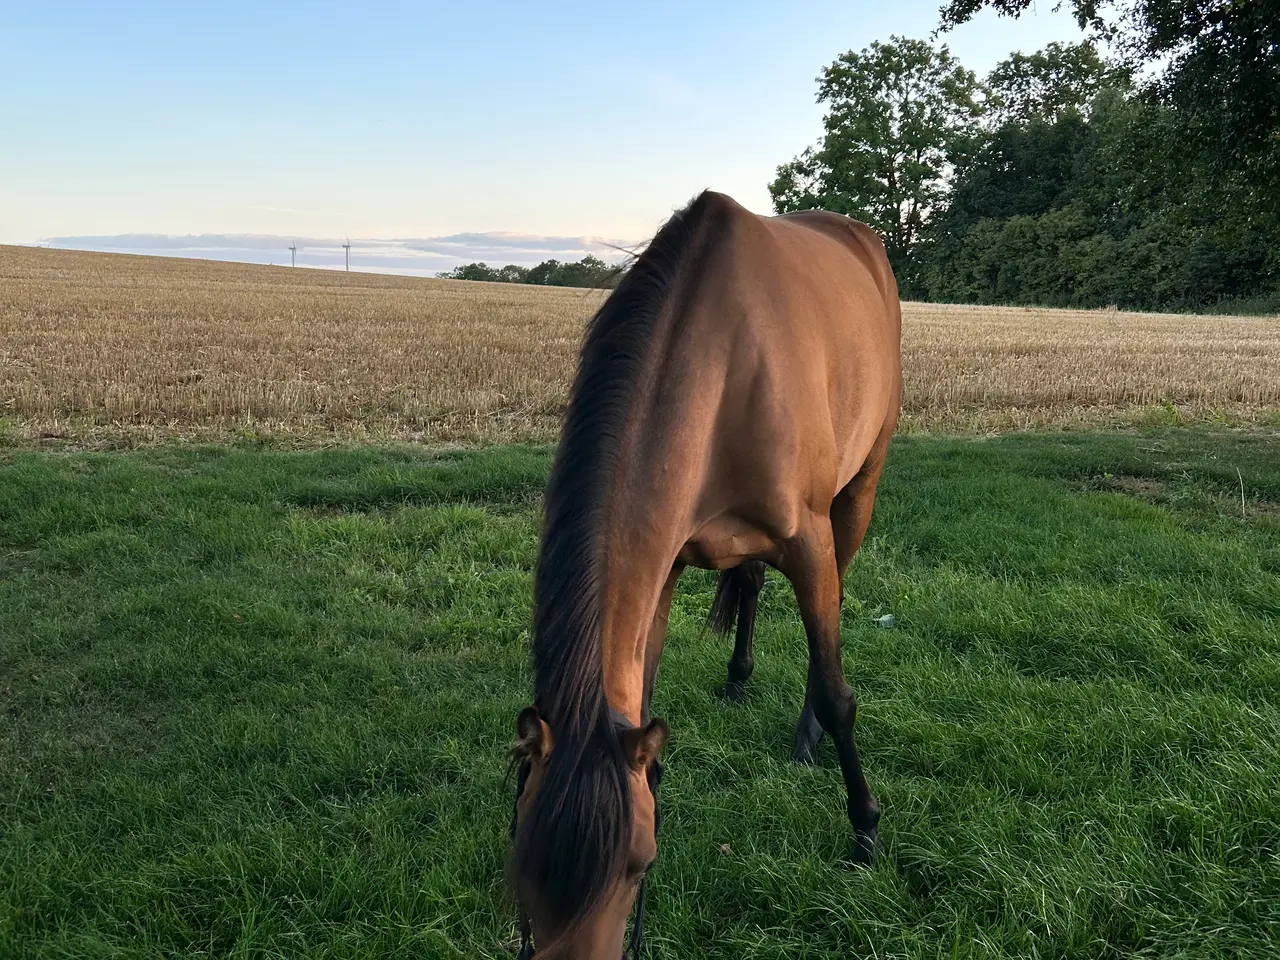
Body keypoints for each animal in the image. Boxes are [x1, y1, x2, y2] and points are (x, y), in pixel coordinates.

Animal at [508, 190, 902, 958]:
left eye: (640, 864)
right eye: (521, 863)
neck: (722, 368)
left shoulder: (809, 541)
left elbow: (838, 688)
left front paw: (865, 827)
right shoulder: (663, 569)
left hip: (858, 492)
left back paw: (807, 736)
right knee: (748, 585)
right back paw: (739, 678)